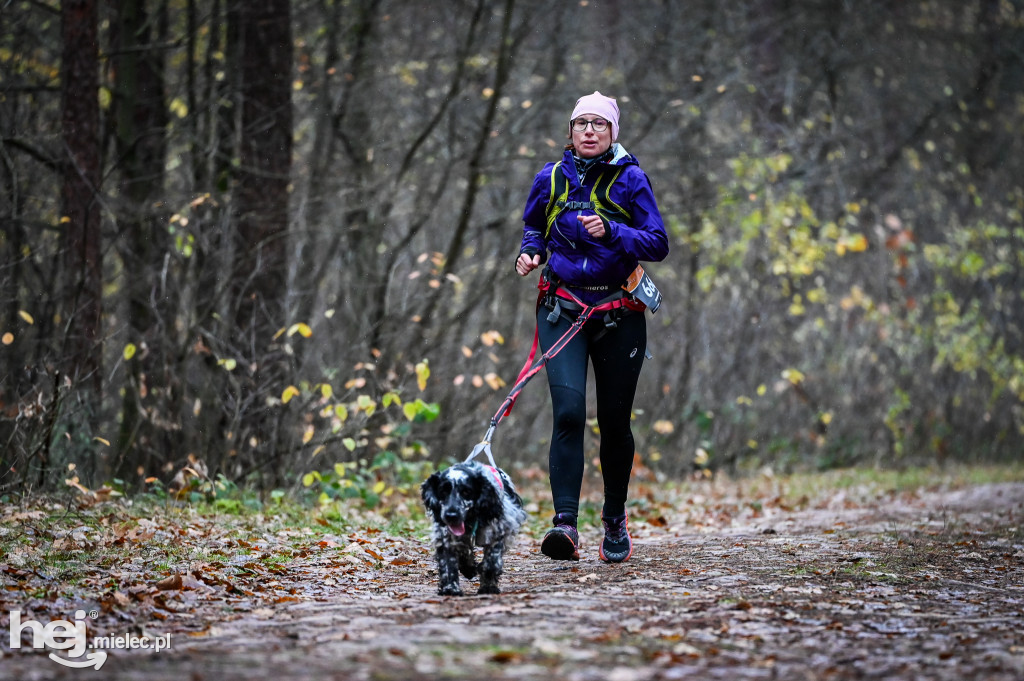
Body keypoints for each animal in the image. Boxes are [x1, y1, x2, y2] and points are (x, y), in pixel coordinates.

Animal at [419, 456, 528, 593]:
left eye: (466, 492)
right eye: (443, 491)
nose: (451, 515)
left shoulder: (500, 531)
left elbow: (491, 563)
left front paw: (488, 587)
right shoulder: (445, 537)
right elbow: (448, 563)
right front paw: (451, 588)